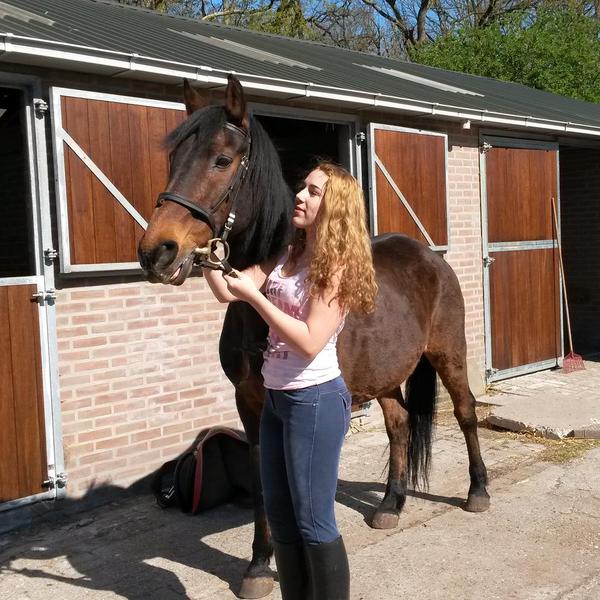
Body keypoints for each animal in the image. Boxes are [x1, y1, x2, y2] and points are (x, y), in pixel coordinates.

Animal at [138, 77, 490, 596]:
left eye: (221, 160)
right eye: (173, 159)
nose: (157, 253)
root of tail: (429, 257)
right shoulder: (249, 402)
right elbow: (262, 482)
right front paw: (259, 566)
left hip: (450, 353)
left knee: (465, 412)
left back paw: (477, 490)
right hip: (386, 375)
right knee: (400, 424)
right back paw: (390, 504)